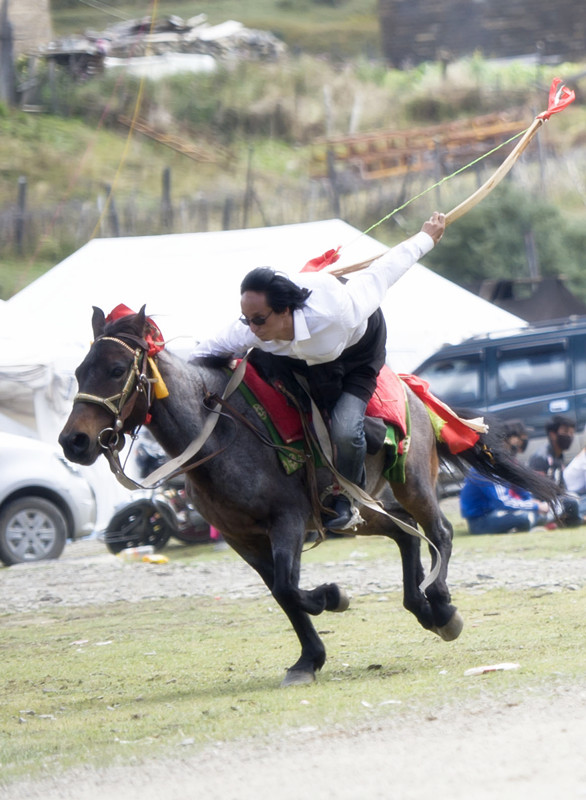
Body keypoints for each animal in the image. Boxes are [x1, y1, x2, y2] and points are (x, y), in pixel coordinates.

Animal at [58, 306, 556, 688]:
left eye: (117, 370)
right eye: (80, 372)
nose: (73, 442)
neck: (220, 431)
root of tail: (411, 387)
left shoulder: (288, 522)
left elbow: (288, 588)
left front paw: (333, 597)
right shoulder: (244, 538)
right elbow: (283, 594)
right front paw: (308, 659)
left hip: (412, 482)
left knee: (440, 531)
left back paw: (442, 606)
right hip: (357, 511)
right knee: (406, 533)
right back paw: (421, 606)